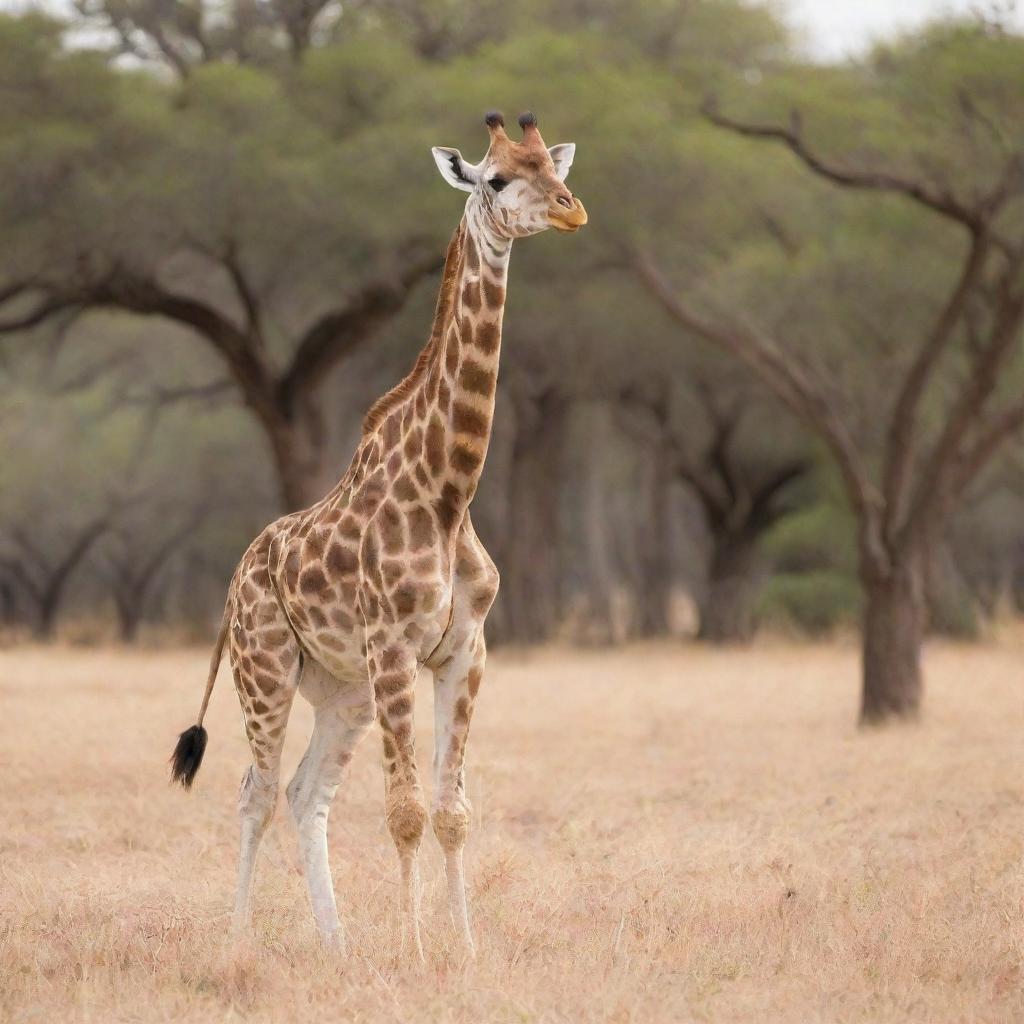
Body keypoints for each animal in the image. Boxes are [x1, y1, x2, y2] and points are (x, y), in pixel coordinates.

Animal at [167, 112, 585, 958]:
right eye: (497, 178)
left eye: (552, 169)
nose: (571, 210)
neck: (450, 492)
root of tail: (234, 581)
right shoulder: (395, 647)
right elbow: (407, 812)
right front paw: (417, 950)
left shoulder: (464, 652)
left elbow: (453, 812)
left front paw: (462, 949)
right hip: (266, 669)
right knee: (257, 791)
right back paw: (238, 944)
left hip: (343, 690)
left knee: (304, 792)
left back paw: (337, 946)